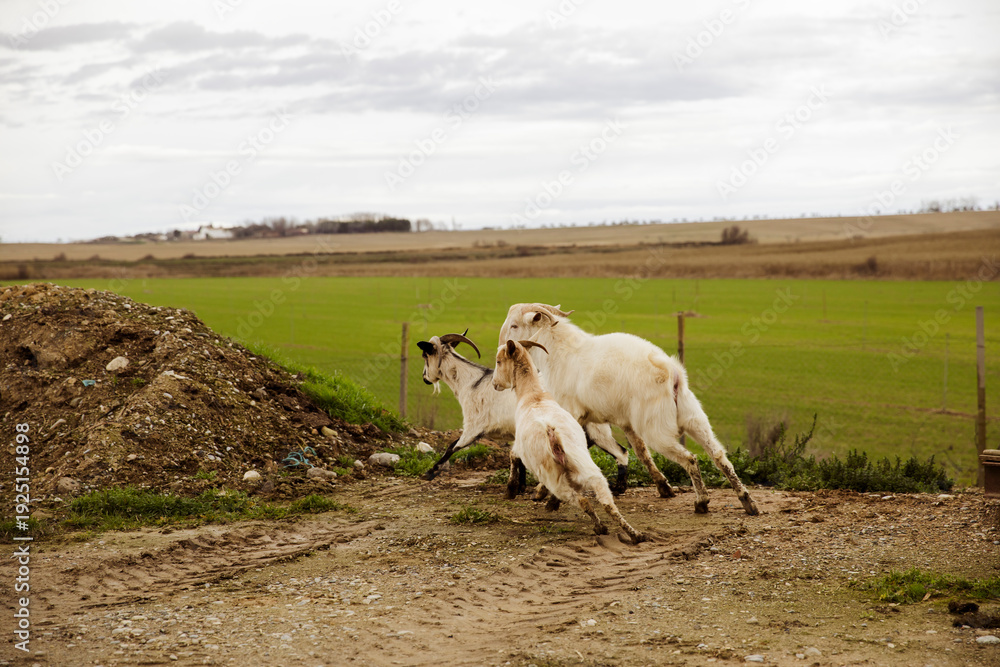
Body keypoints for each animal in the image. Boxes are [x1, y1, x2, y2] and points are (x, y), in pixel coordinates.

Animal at [417, 332, 630, 494]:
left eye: (425, 355)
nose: (425, 378)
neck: (471, 383)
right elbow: (519, 458)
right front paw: (520, 486)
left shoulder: (473, 427)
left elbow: (452, 446)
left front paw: (429, 473)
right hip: (593, 429)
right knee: (621, 451)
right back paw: (618, 489)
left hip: (593, 428)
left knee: (619, 451)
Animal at [493, 339, 645, 543]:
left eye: (499, 361)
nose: (494, 383)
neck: (534, 397)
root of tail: (552, 433)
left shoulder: (519, 445)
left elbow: (512, 455)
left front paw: (511, 490)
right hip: (584, 465)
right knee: (605, 500)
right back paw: (635, 534)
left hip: (554, 477)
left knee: (582, 500)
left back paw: (598, 526)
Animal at [498, 304, 759, 516]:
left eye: (514, 325)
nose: (503, 344)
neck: (559, 352)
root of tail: (672, 373)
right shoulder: (626, 422)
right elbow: (641, 453)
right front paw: (664, 488)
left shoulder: (570, 414)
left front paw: (544, 494)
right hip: (693, 418)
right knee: (719, 455)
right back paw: (747, 502)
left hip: (656, 428)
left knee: (691, 459)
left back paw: (702, 503)